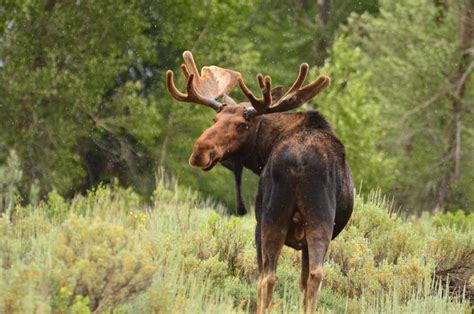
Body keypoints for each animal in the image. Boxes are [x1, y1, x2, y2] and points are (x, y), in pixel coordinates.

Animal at [165, 52, 354, 314]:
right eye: (215, 118)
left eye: (242, 125)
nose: (199, 151)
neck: (263, 153)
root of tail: (299, 163)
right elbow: (302, 282)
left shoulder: (258, 223)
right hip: (312, 220)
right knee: (310, 275)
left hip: (273, 219)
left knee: (267, 277)